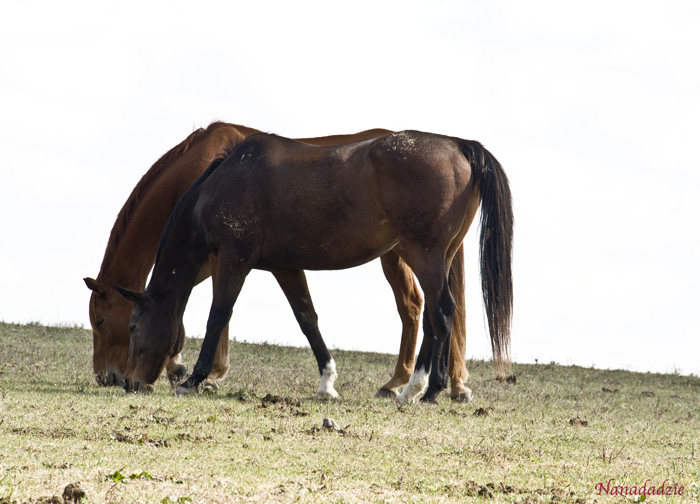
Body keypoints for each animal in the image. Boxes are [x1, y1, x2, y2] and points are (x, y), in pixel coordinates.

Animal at [84, 122, 476, 400]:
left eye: (126, 325)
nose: (122, 381)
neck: (219, 178)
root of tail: (458, 146)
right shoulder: (283, 266)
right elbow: (306, 318)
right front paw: (327, 383)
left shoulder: (230, 260)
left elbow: (217, 315)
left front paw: (194, 377)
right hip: (427, 258)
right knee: (436, 312)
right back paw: (428, 386)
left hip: (417, 257)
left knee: (434, 310)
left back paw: (423, 388)